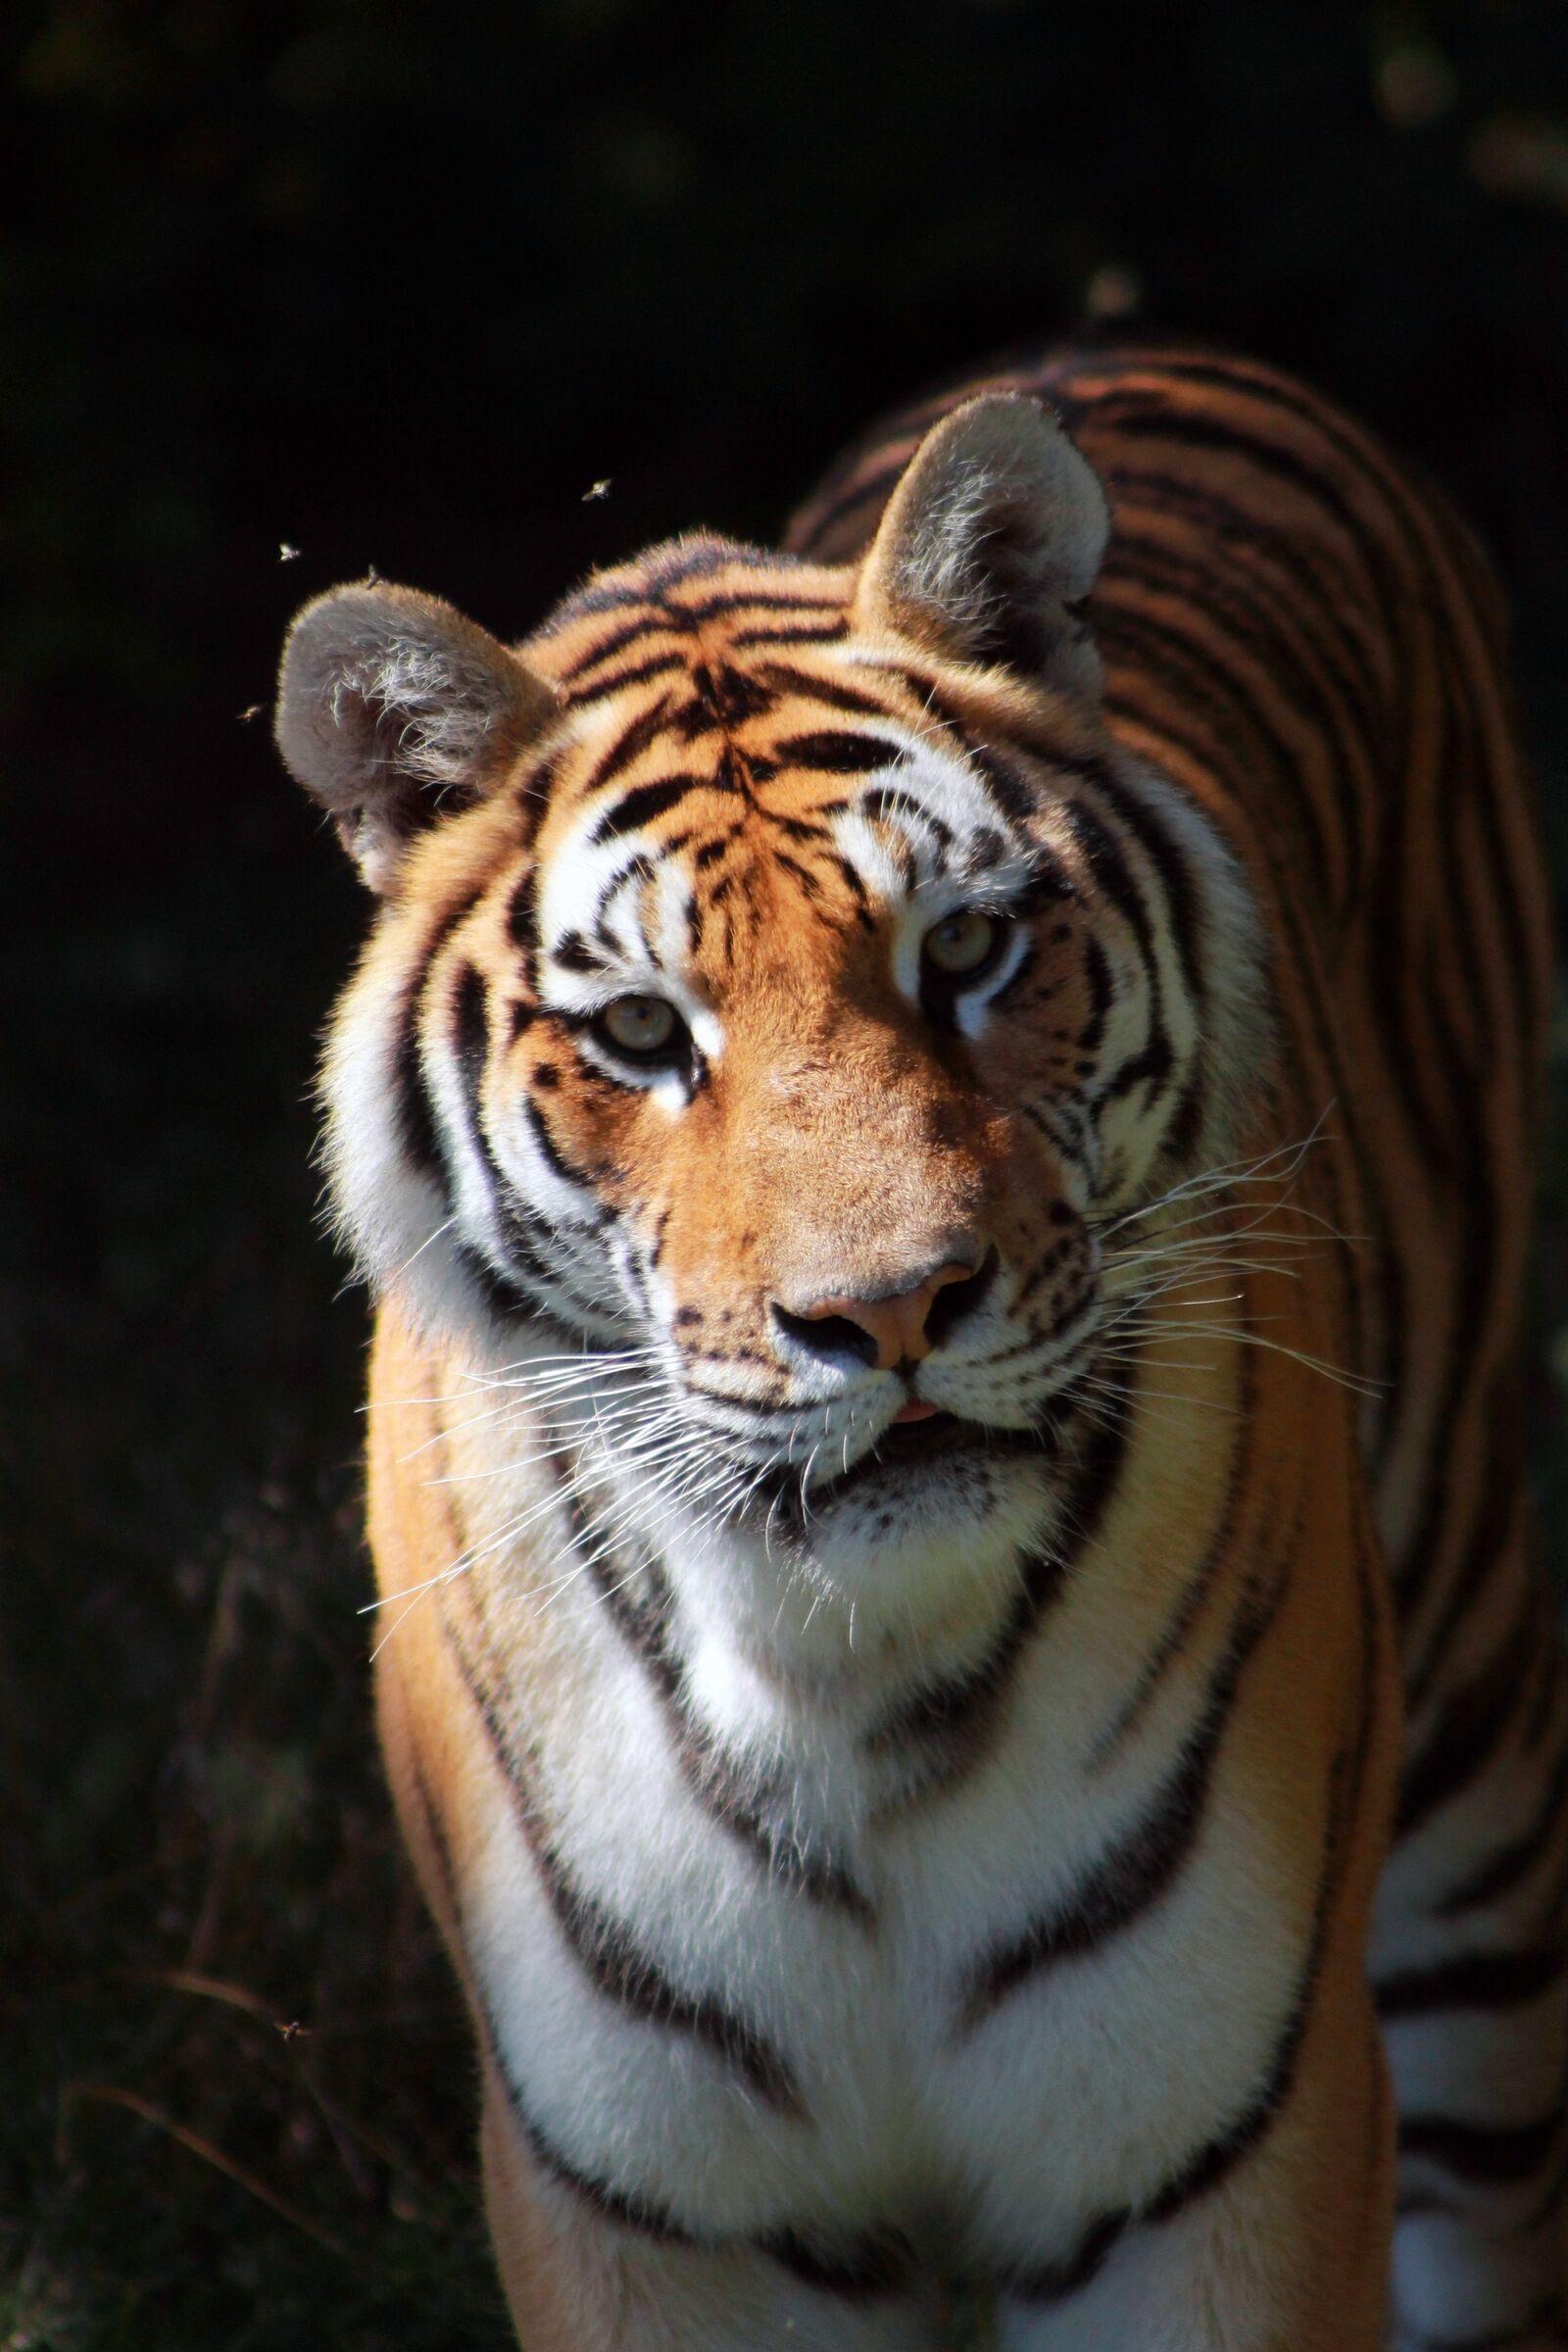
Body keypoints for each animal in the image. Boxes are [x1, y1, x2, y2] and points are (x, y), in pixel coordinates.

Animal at [274, 340, 1566, 2350]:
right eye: (641, 1031)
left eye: (963, 950)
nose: (887, 1310)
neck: (844, 1683)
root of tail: (1150, 344)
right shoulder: (645, 2201)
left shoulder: (1226, 2150)